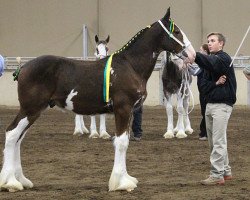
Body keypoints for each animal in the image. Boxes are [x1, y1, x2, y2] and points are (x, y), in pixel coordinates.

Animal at [0, 8, 195, 192]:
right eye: (177, 31)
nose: (192, 54)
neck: (130, 65)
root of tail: (23, 67)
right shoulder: (123, 109)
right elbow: (122, 143)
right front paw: (121, 183)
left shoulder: (129, 111)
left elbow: (123, 141)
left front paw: (126, 178)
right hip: (30, 110)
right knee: (12, 134)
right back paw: (11, 182)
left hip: (33, 112)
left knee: (19, 139)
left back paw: (21, 180)